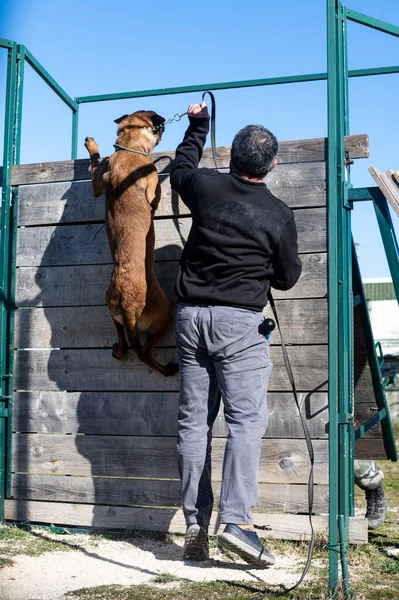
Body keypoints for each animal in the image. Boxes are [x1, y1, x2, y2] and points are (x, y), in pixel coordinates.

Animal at [84, 109, 178, 376]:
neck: (129, 149)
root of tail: (127, 305)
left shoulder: (98, 182)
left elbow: (95, 163)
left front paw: (92, 146)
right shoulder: (152, 186)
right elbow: (154, 198)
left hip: (113, 313)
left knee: (125, 342)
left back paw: (120, 350)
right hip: (166, 314)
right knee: (144, 352)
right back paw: (167, 369)